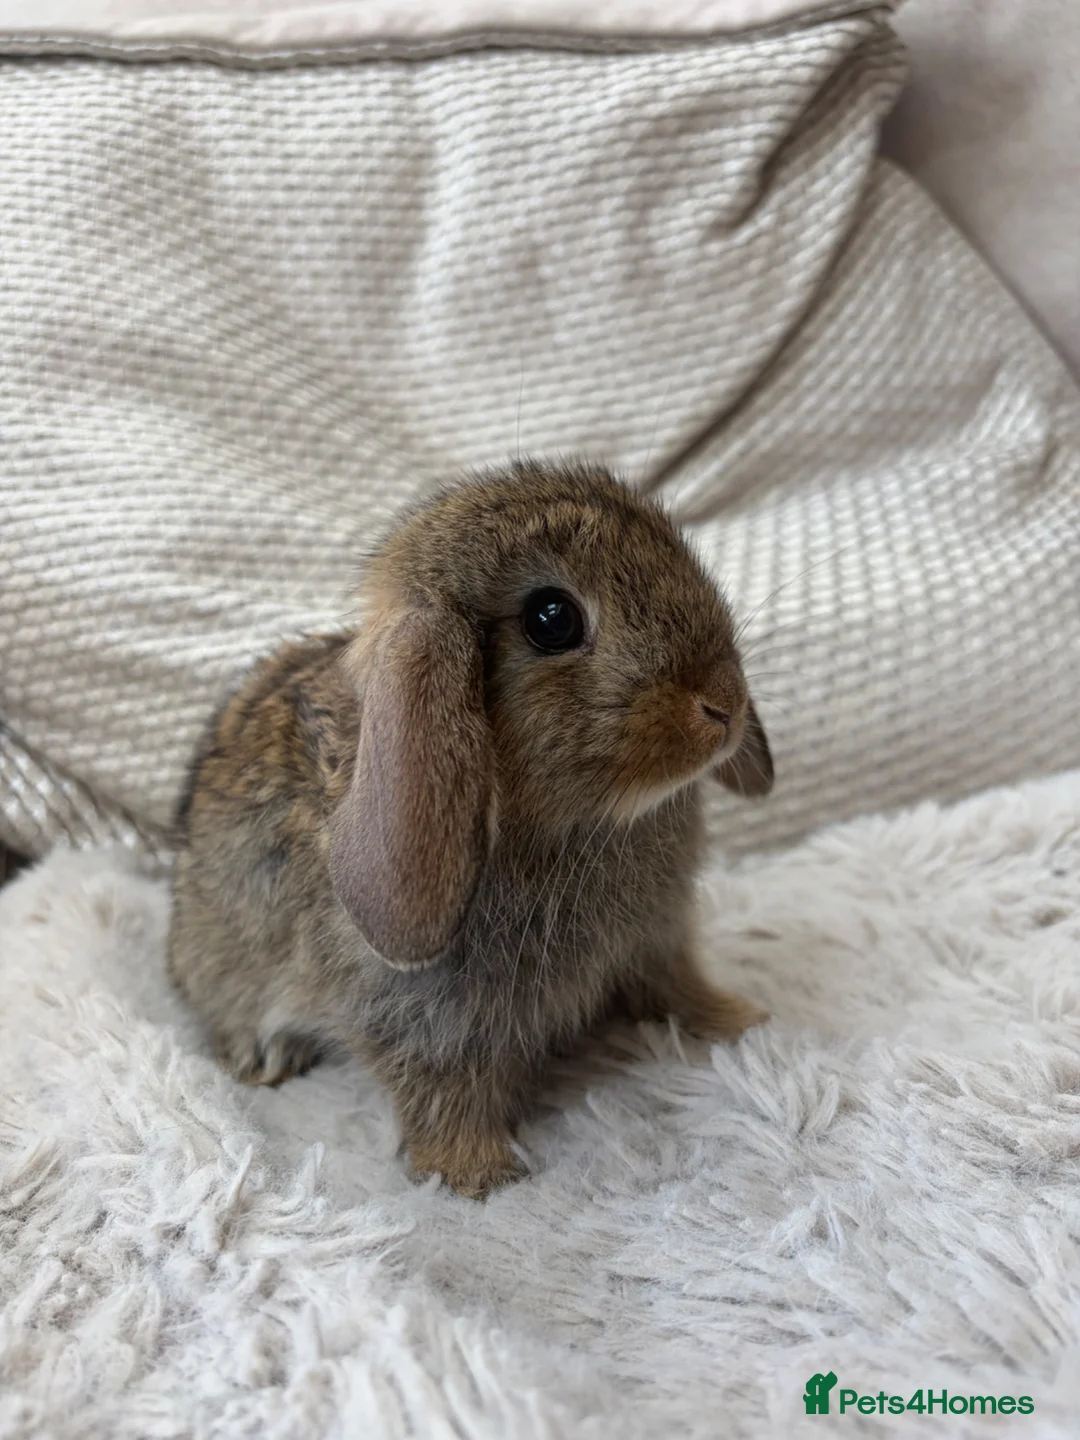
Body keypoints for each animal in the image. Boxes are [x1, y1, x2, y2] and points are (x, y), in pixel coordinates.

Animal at [167, 458, 774, 1198]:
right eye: (552, 619)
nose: (724, 706)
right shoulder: (423, 1018)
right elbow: (440, 1090)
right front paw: (479, 1175)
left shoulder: (656, 943)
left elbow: (678, 987)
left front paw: (738, 1020)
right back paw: (269, 1056)